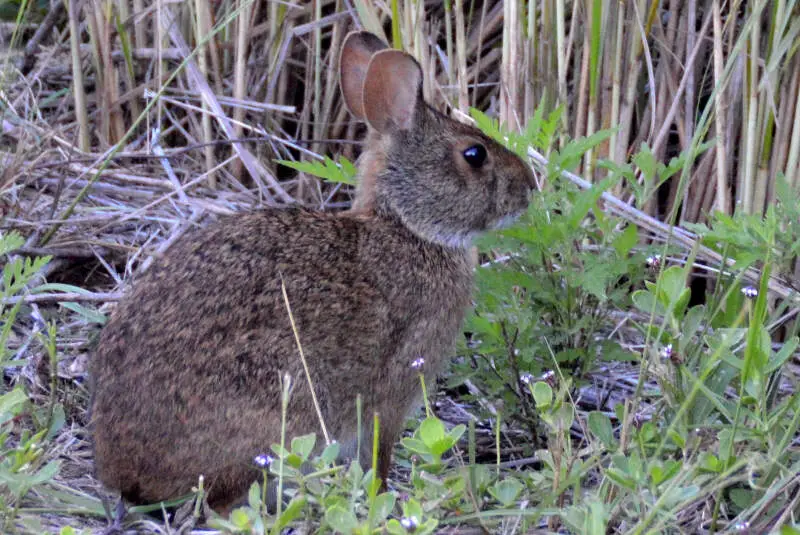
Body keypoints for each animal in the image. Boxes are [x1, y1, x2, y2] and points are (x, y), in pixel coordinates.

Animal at [90, 30, 536, 516]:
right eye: (474, 154)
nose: (530, 186)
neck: (405, 226)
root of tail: (124, 469)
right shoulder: (390, 395)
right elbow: (379, 454)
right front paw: (385, 498)